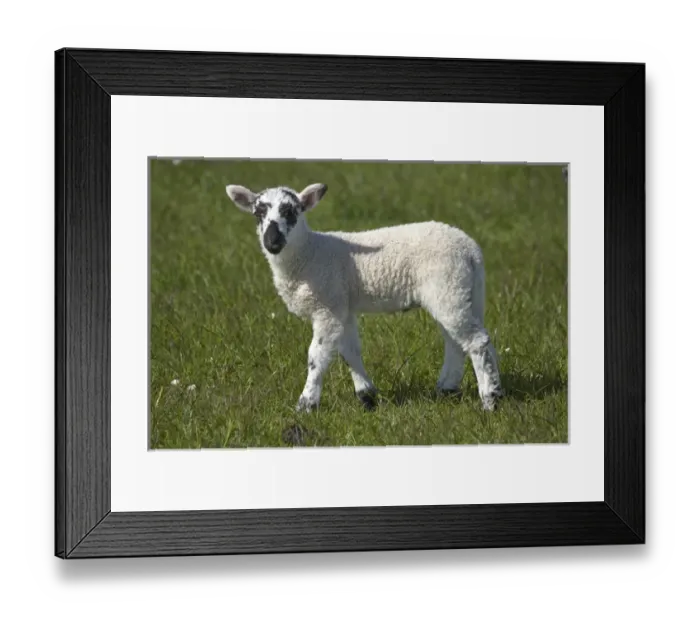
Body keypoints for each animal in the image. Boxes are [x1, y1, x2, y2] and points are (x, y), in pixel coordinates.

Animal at [225, 182, 504, 413]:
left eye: (292, 212)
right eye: (258, 213)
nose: (272, 242)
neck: (309, 254)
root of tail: (471, 250)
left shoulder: (327, 308)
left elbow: (317, 356)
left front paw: (306, 405)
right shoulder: (342, 306)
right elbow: (350, 351)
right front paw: (367, 397)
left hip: (448, 288)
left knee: (476, 341)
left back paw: (490, 401)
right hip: (462, 291)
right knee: (460, 341)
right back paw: (452, 389)